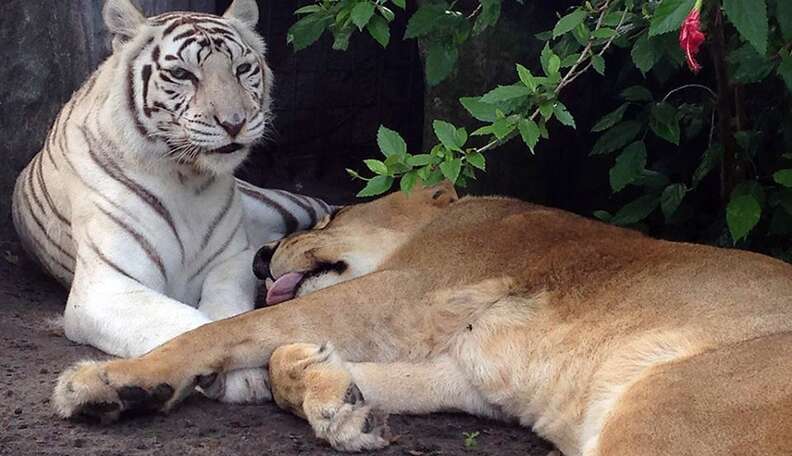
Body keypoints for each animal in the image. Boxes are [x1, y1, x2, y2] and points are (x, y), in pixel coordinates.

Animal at [10, 0, 332, 400]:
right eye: (182, 74)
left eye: (242, 69)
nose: (234, 122)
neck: (186, 179)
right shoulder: (107, 287)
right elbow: (189, 323)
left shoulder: (231, 261)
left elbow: (229, 312)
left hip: (286, 206)